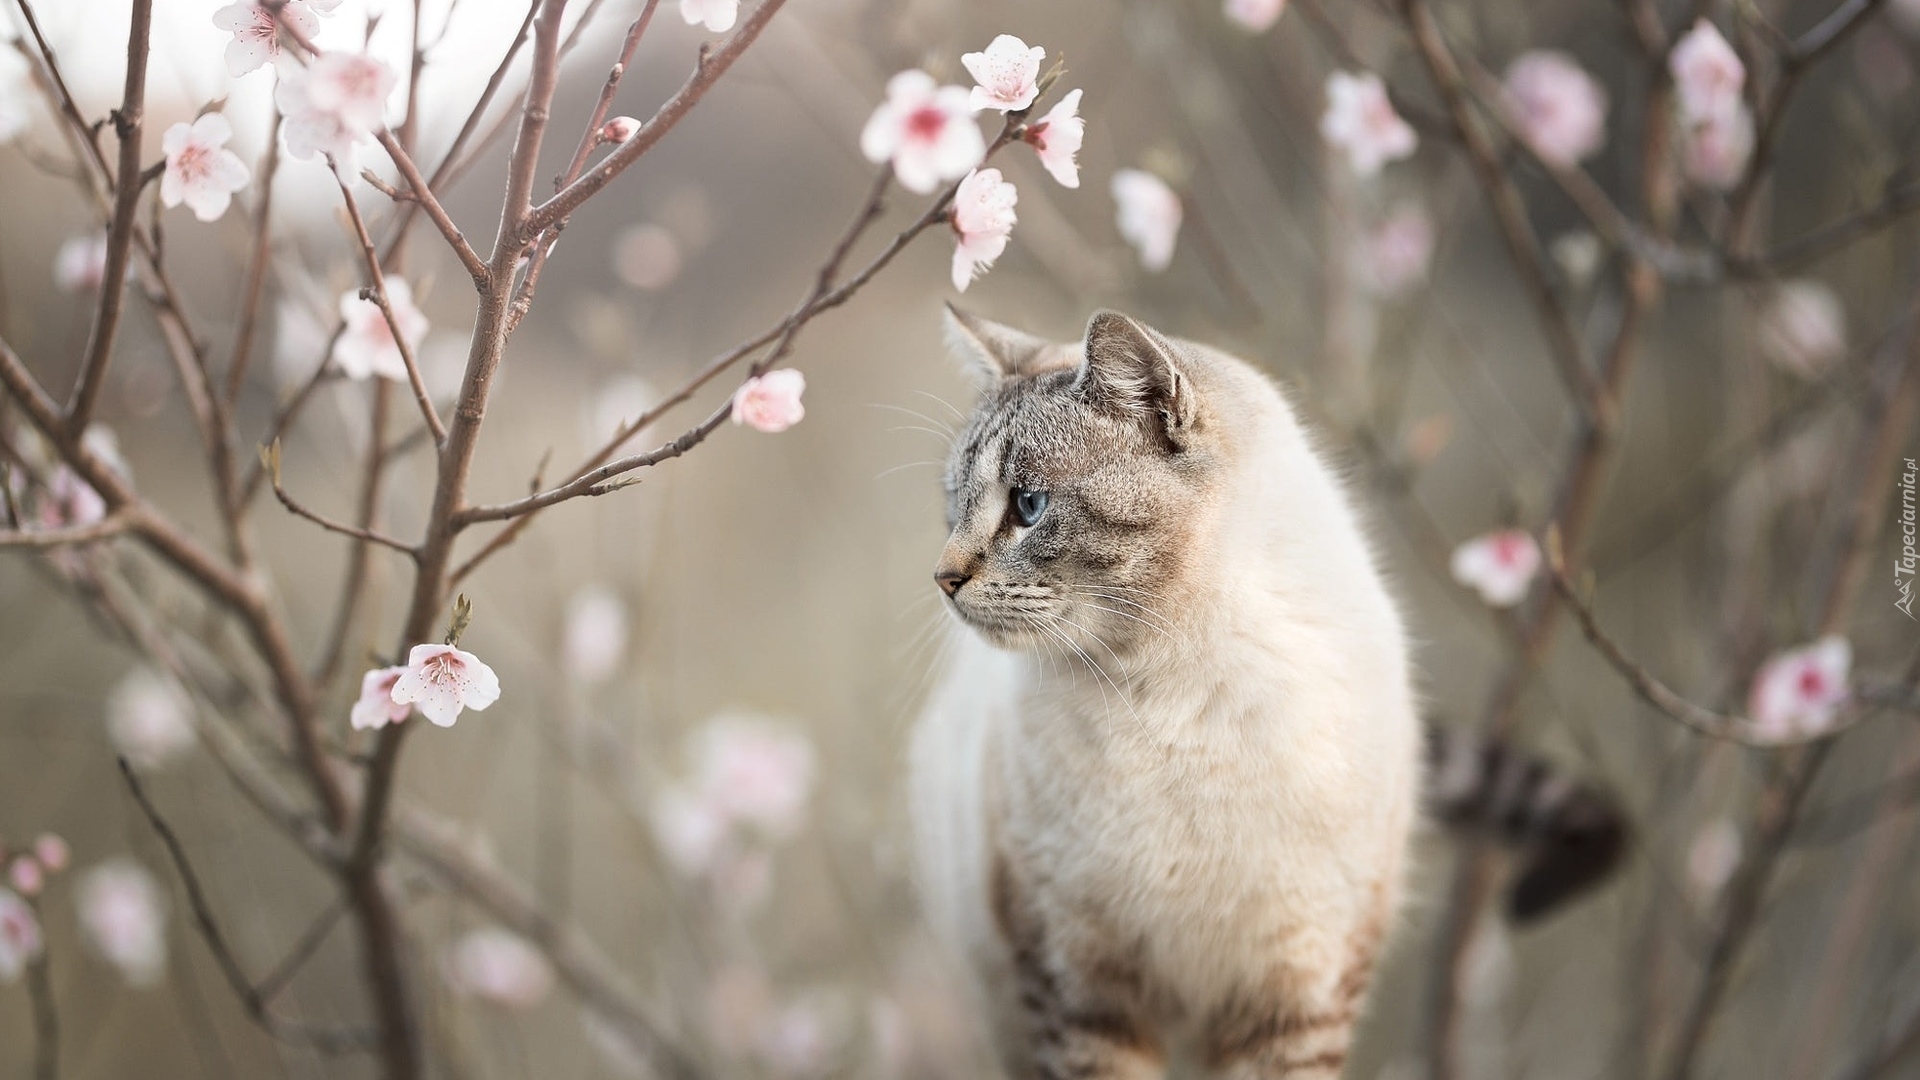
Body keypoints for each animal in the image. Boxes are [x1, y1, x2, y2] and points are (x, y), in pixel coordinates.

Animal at [913, 307, 1620, 1068]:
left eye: (1029, 505)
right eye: (954, 506)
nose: (943, 579)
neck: (1170, 689)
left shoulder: (1294, 998)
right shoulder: (1081, 992)